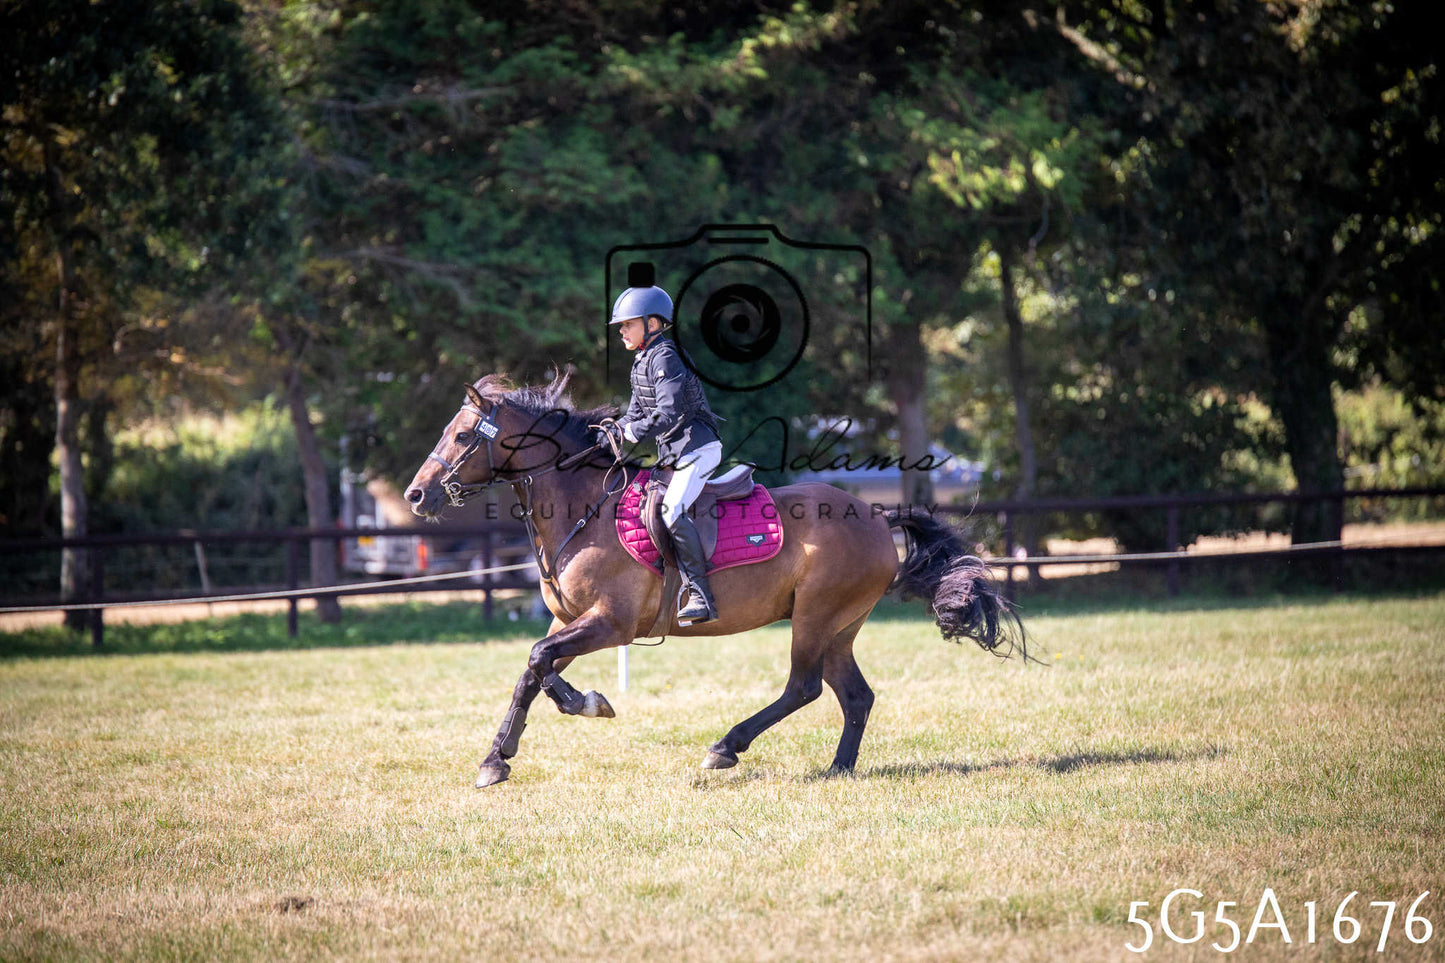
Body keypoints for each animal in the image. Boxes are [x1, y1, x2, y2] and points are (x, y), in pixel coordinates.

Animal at [403, 371, 1026, 788]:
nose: (415, 496)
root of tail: (876, 515)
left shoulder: (611, 623)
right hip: (840, 626)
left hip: (815, 617)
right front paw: (513, 748)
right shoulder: (575, 622)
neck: (583, 507)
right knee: (855, 695)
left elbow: (536, 660)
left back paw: (726, 747)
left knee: (804, 688)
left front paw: (554, 723)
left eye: (464, 437)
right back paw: (838, 769)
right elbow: (536, 672)